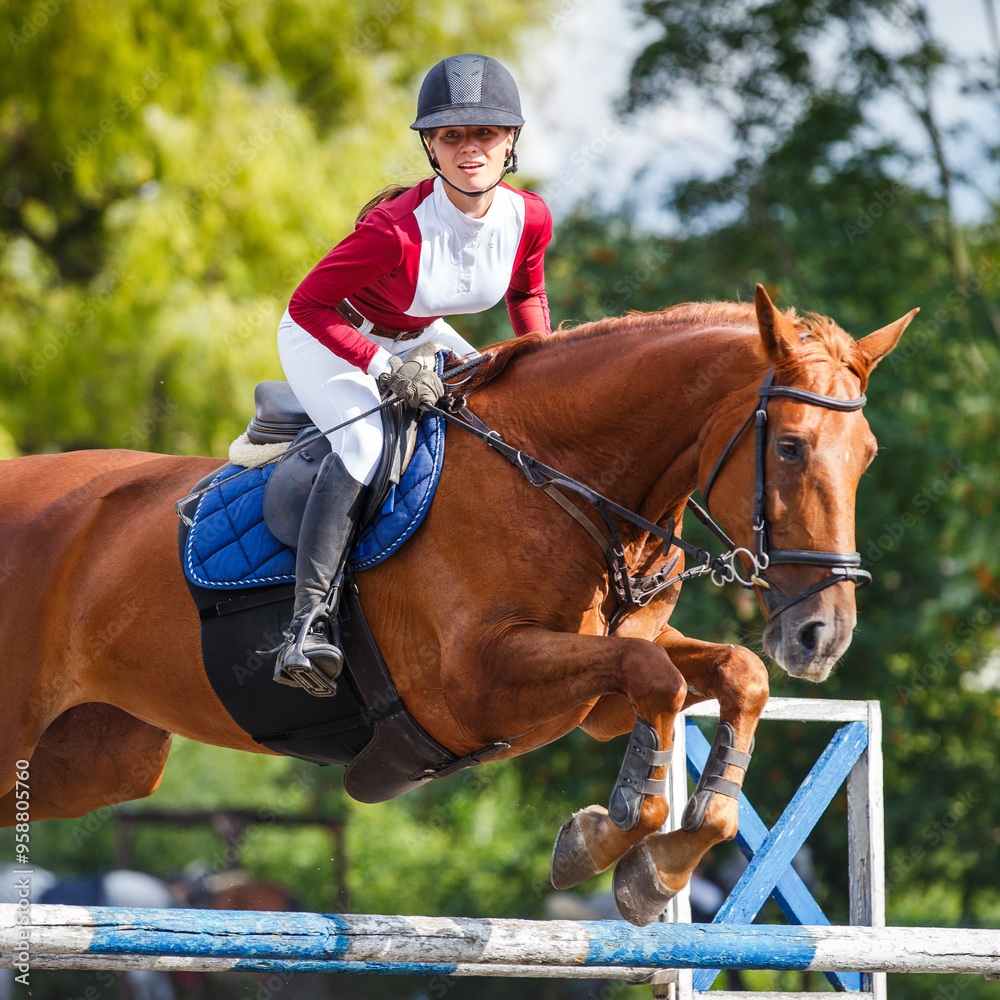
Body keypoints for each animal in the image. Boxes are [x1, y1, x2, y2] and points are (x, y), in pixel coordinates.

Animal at [0, 286, 914, 925]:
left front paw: (656, 866)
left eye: (869, 455)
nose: (824, 635)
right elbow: (654, 677)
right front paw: (606, 839)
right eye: (790, 447)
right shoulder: (474, 684)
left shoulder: (598, 702)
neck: (561, 480)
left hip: (99, 757)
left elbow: (736, 672)